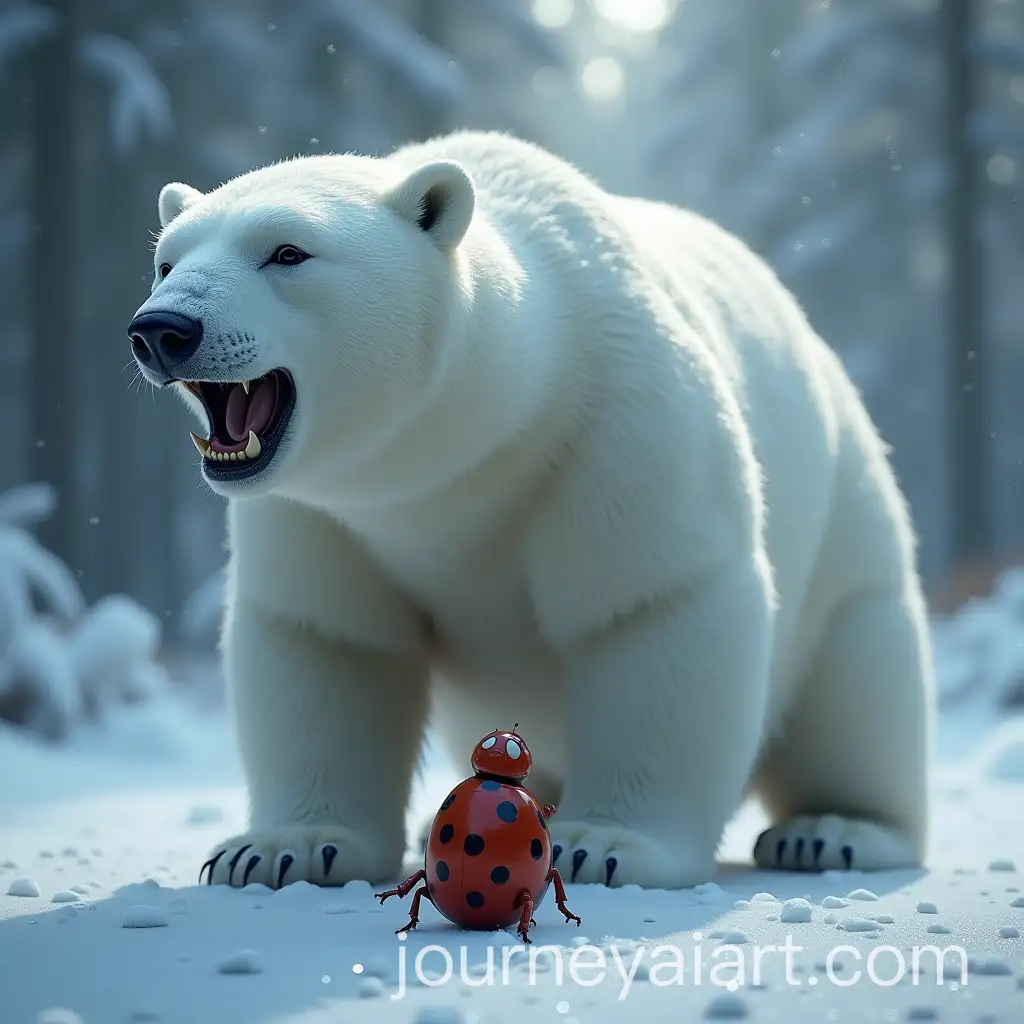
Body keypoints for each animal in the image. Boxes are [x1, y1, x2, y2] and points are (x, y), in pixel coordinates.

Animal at [127, 130, 932, 891]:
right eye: (167, 261)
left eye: (287, 251)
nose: (164, 329)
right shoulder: (323, 510)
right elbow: (330, 639)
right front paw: (281, 849)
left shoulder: (614, 424)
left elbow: (653, 603)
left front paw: (603, 844)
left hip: (847, 530)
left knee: (858, 680)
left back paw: (834, 830)